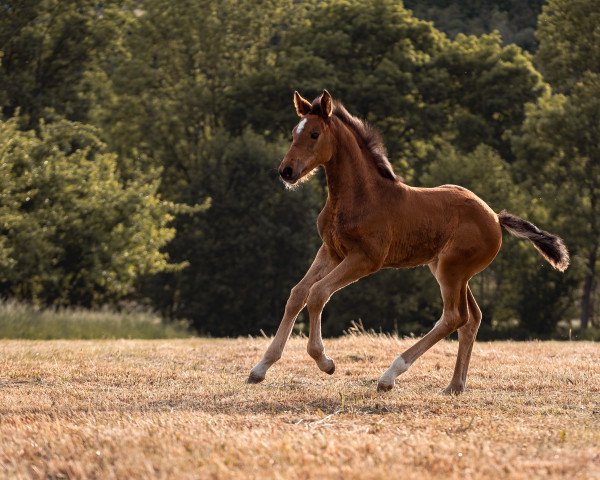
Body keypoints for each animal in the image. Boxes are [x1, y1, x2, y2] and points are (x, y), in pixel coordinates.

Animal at [246, 90, 568, 394]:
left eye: (314, 134)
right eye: (293, 133)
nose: (286, 171)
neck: (358, 196)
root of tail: (495, 217)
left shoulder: (365, 259)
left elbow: (318, 293)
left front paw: (324, 361)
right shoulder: (331, 251)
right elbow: (297, 294)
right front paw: (260, 368)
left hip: (452, 270)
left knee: (453, 317)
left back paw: (389, 376)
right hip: (449, 270)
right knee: (471, 318)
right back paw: (454, 386)